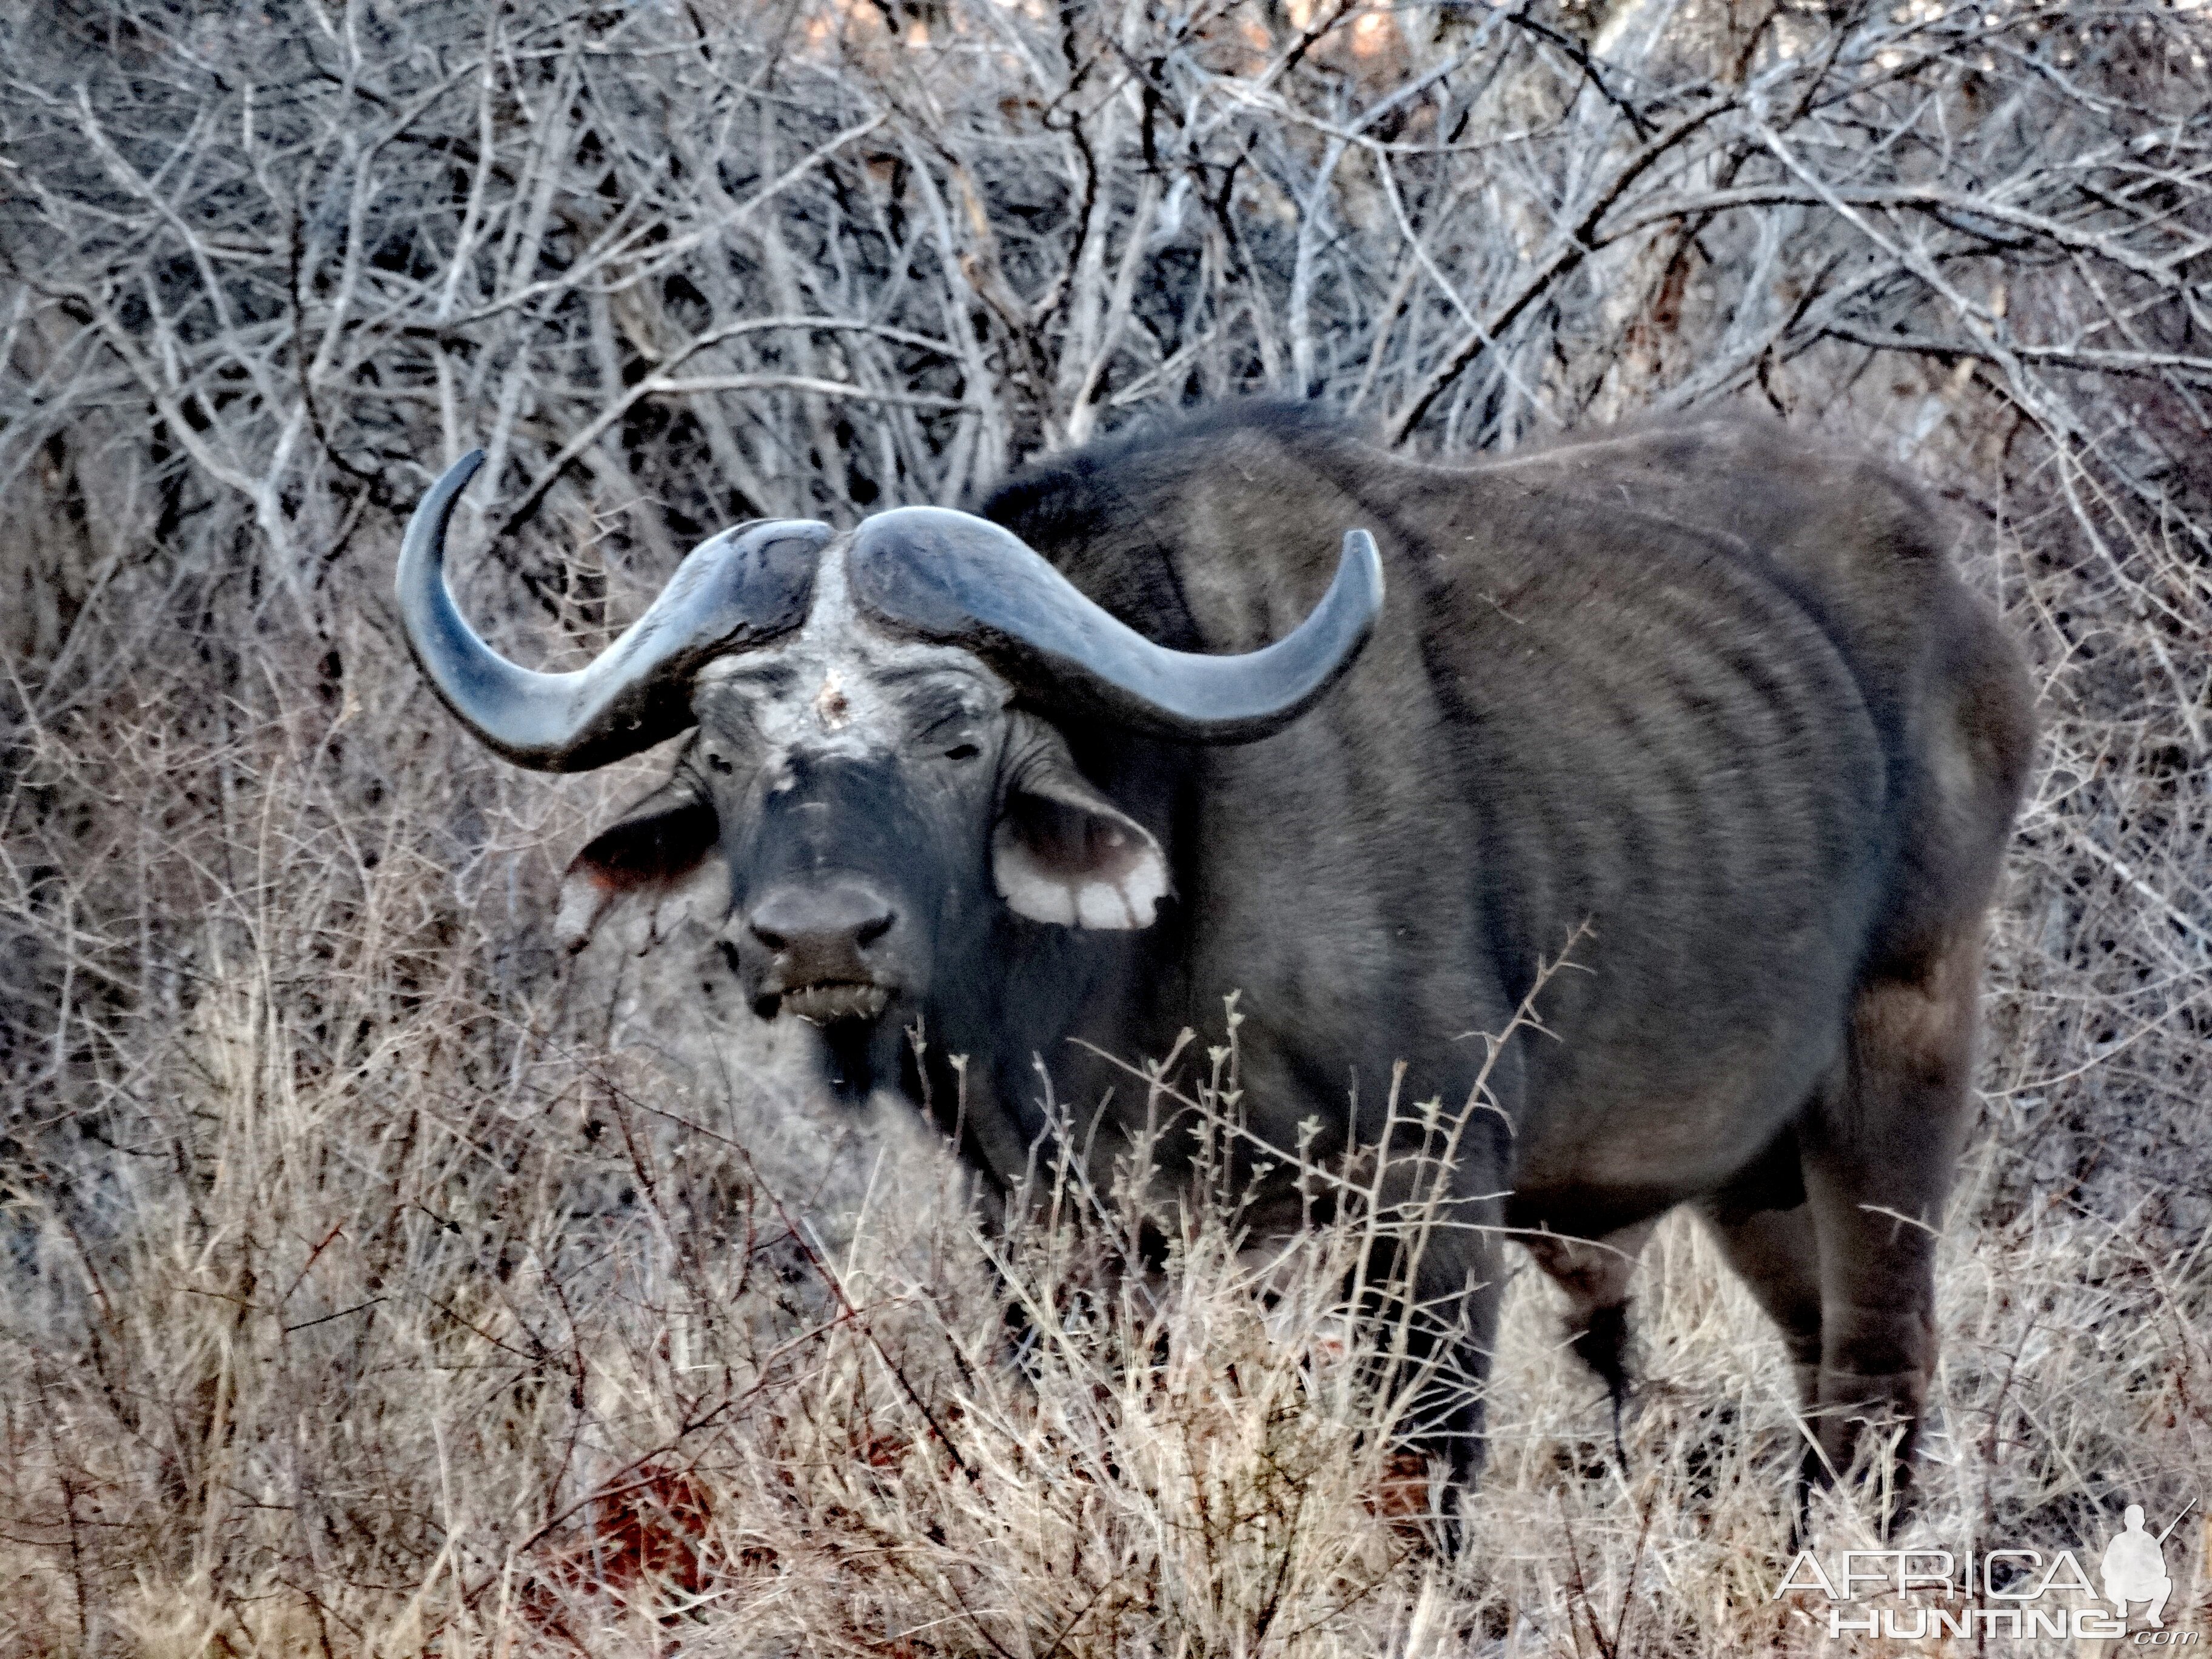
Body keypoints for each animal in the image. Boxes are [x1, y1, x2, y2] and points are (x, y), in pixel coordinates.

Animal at [402, 407, 2035, 1521]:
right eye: (727, 748)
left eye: (960, 733)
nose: (815, 937)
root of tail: (1958, 592)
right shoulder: (1053, 1219)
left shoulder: (1427, 1178)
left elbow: (1415, 1466)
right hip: (1749, 1166)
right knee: (1821, 1356)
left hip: (1900, 1056)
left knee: (1883, 1359)